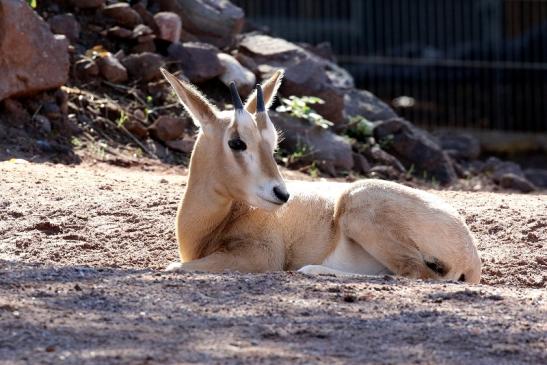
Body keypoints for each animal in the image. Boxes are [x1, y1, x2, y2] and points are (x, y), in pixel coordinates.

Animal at [161, 69, 482, 284]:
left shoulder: (260, 255)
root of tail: (470, 254)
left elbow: (172, 268)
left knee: (413, 272)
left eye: (272, 142)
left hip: (359, 206)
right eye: (237, 142)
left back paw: (312, 270)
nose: (281, 194)